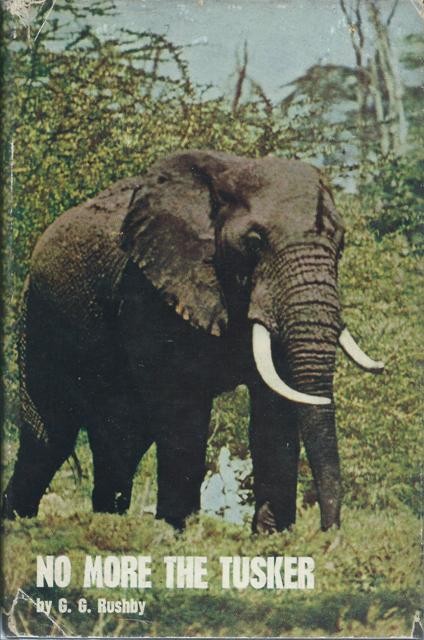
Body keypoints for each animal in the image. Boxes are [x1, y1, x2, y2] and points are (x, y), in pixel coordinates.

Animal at [2, 150, 384, 532]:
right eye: (255, 242)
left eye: (340, 244)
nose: (329, 531)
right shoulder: (150, 291)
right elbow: (183, 408)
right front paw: (177, 530)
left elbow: (275, 405)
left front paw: (271, 537)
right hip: (38, 319)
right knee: (49, 436)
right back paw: (19, 522)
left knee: (121, 439)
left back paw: (107, 521)